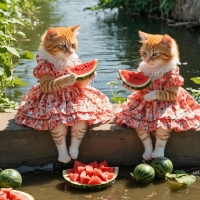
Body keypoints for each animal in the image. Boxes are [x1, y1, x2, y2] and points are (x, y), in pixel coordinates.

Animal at [14, 24, 113, 162]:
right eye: (63, 46)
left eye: (73, 45)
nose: (71, 52)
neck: (61, 59)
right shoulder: (44, 74)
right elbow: (55, 82)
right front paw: (67, 77)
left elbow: (80, 85)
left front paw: (92, 74)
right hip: (55, 117)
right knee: (59, 136)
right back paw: (64, 156)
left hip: (82, 112)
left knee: (78, 131)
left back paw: (73, 152)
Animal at [115, 30, 200, 160]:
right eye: (144, 53)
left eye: (155, 54)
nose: (147, 60)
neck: (156, 68)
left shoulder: (172, 92)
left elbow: (159, 92)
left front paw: (148, 96)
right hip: (136, 120)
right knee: (144, 136)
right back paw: (148, 154)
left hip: (164, 120)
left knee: (161, 137)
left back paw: (158, 154)